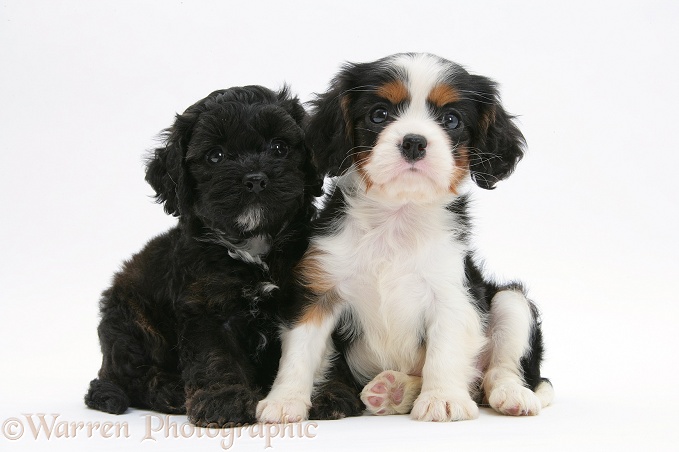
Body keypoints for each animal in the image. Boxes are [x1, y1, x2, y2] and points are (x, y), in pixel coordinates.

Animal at [85, 85, 324, 428]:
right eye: (216, 156)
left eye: (279, 148)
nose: (255, 178)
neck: (253, 250)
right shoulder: (207, 310)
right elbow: (215, 358)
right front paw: (223, 402)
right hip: (128, 322)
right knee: (134, 378)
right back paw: (169, 392)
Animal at [258, 53, 556, 424]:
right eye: (379, 114)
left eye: (451, 119)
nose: (414, 142)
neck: (397, 217)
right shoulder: (318, 292)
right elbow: (299, 352)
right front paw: (284, 400)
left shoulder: (453, 293)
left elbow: (444, 352)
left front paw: (442, 398)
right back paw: (392, 391)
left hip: (510, 302)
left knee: (504, 371)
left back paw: (511, 394)